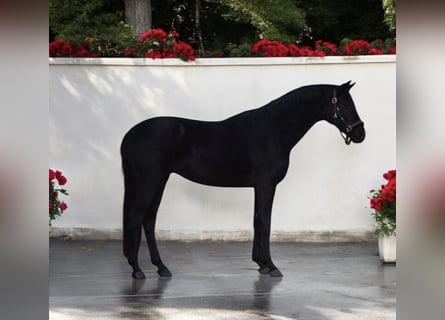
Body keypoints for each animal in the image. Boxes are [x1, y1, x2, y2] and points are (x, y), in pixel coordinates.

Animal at [120, 81, 364, 278]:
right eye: (344, 104)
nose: (360, 134)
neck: (274, 129)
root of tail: (130, 135)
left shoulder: (259, 186)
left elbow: (257, 221)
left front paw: (261, 264)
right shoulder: (266, 185)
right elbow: (265, 223)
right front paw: (272, 266)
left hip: (158, 182)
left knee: (148, 220)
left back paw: (161, 267)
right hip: (149, 183)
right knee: (135, 217)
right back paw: (137, 270)